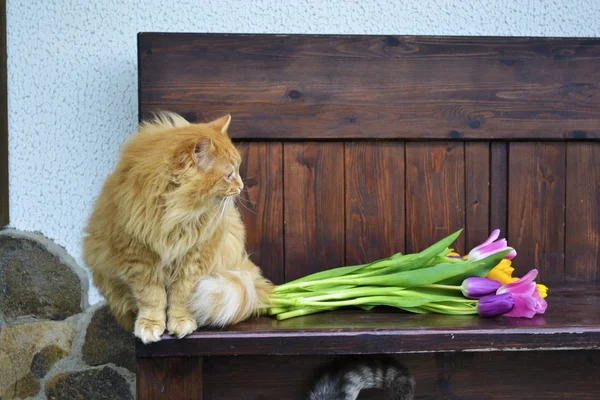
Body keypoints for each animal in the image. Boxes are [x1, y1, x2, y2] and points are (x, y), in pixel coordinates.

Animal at [82, 112, 272, 344]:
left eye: (237, 171)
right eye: (229, 175)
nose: (242, 186)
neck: (173, 212)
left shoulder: (194, 258)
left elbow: (182, 295)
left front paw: (181, 322)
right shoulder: (139, 258)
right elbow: (151, 298)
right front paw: (150, 325)